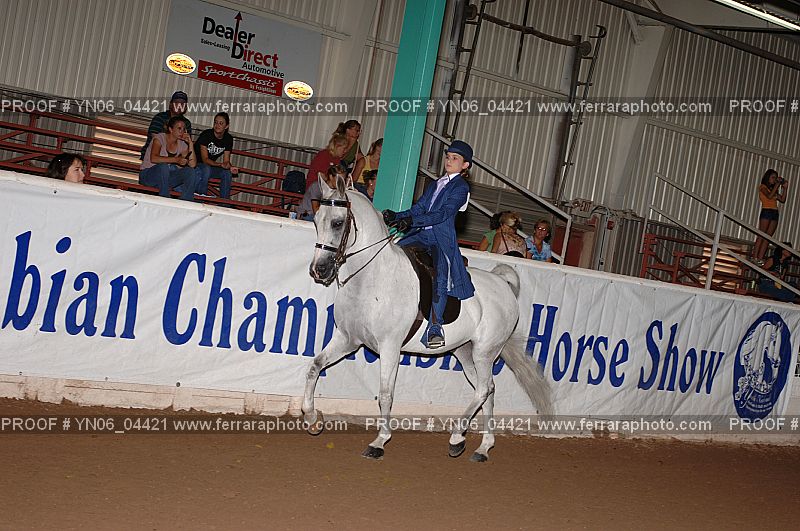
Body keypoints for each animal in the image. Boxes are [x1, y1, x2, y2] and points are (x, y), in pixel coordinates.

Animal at [303, 174, 550, 461]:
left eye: (337, 222)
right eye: (316, 220)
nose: (319, 270)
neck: (372, 278)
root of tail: (503, 285)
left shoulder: (390, 347)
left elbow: (385, 394)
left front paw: (379, 441)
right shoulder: (347, 339)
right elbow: (314, 366)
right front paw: (312, 418)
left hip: (485, 352)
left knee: (483, 389)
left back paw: (456, 437)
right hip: (465, 353)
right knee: (487, 389)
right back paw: (482, 447)